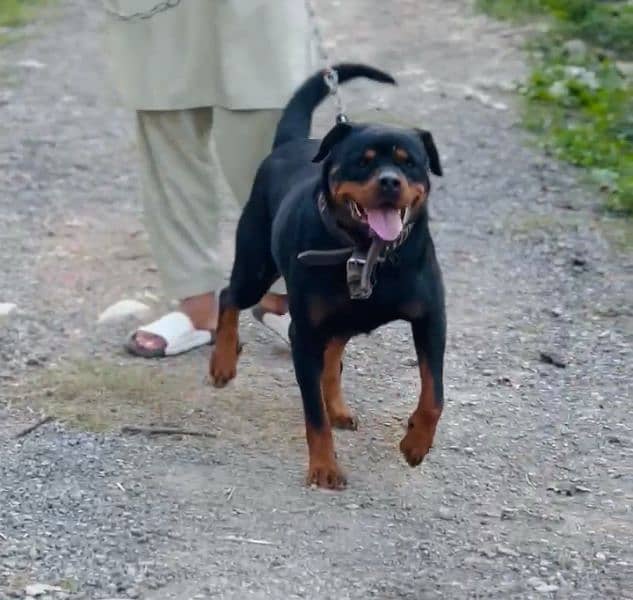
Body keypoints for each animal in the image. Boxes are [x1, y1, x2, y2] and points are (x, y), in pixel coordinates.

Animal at [212, 63, 444, 490]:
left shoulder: (431, 318)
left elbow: (434, 394)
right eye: (362, 161)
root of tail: (289, 144)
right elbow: (312, 415)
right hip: (255, 266)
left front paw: (416, 443)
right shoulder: (303, 334)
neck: (367, 251)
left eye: (410, 163)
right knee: (229, 296)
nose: (390, 181)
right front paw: (324, 467)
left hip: (340, 316)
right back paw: (222, 362)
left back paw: (338, 407)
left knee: (334, 352)